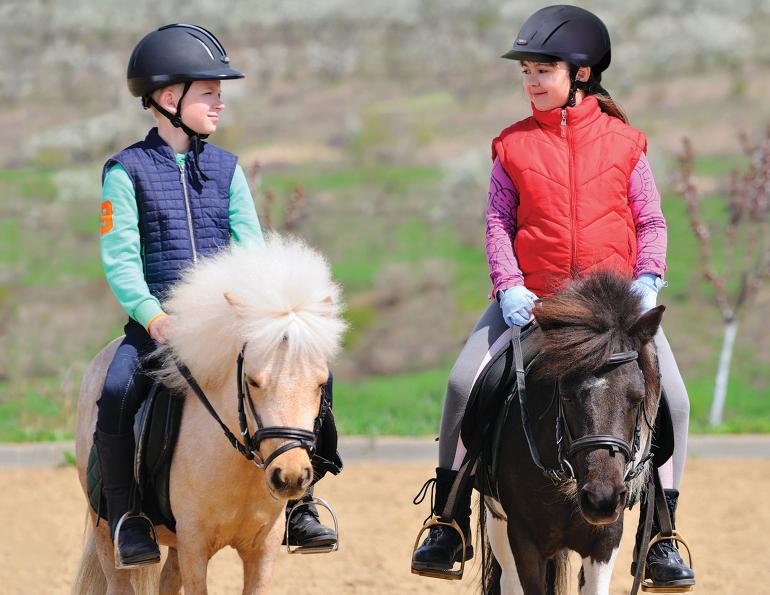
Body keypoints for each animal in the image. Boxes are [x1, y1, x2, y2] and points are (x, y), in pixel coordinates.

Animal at [72, 234, 347, 595]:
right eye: (252, 381)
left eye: (319, 383)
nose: (288, 477)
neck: (237, 467)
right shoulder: (194, 546)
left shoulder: (263, 548)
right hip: (107, 535)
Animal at [480, 271, 665, 595]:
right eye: (566, 396)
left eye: (637, 398)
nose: (601, 499)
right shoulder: (523, 539)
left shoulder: (605, 539)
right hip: (498, 522)